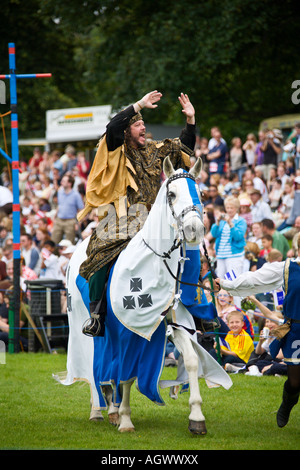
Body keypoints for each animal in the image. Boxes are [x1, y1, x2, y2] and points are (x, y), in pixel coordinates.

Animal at [54, 157, 232, 434]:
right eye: (171, 194)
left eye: (200, 194)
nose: (193, 229)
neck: (158, 261)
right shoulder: (128, 329)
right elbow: (127, 374)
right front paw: (126, 420)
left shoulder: (173, 323)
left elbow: (191, 360)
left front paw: (196, 417)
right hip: (83, 327)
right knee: (94, 367)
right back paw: (99, 410)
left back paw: (112, 409)